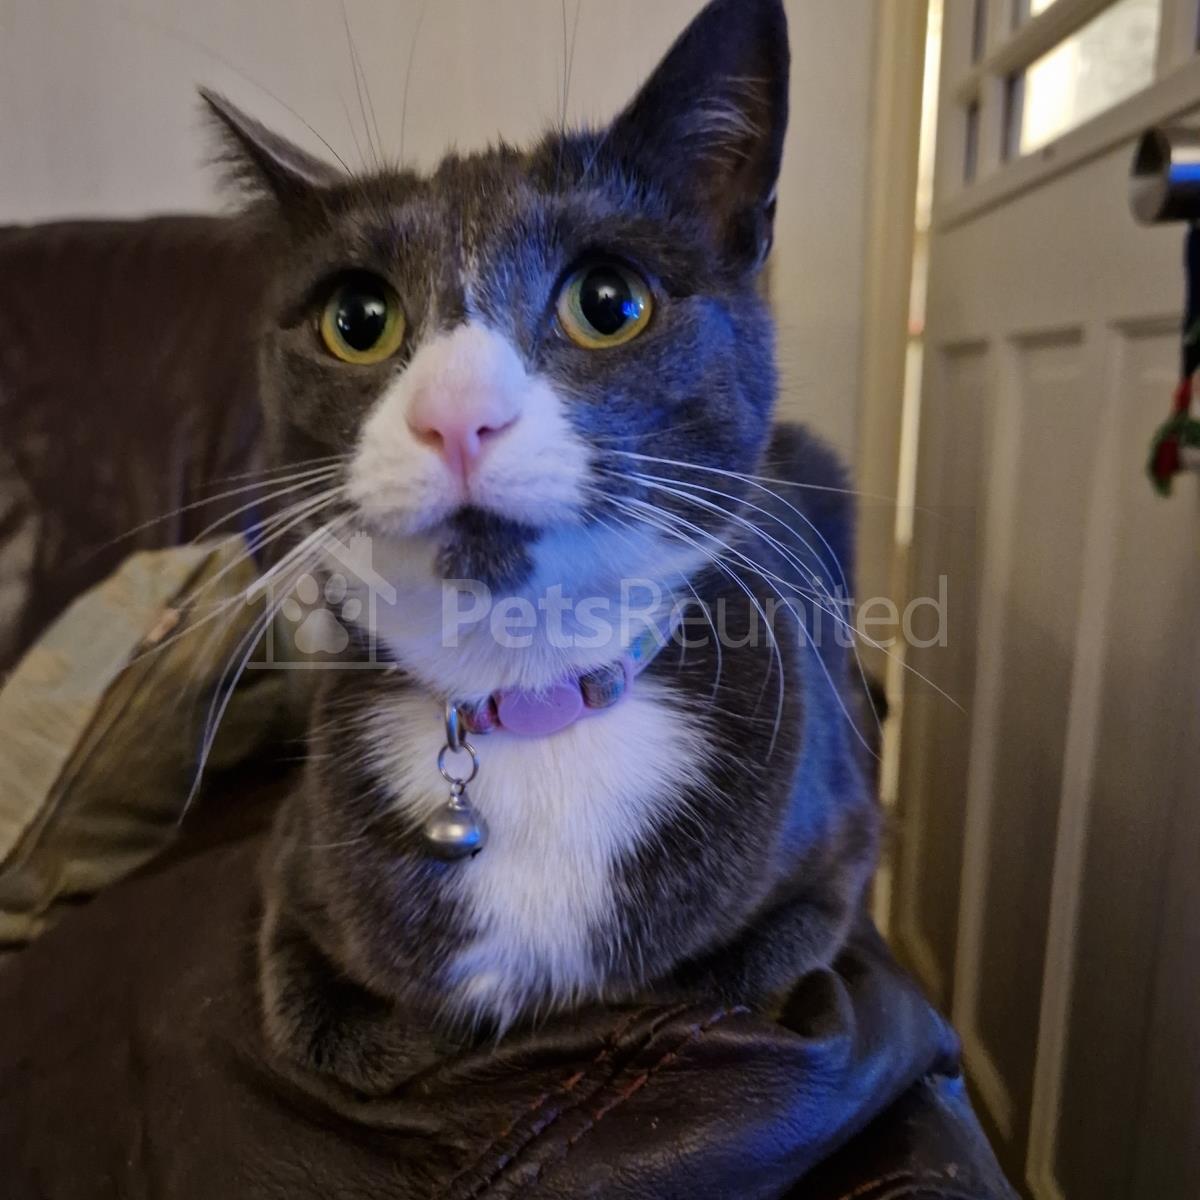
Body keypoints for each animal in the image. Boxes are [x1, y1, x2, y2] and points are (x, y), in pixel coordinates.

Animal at [204, 0, 880, 1095]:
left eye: (609, 302)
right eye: (356, 319)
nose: (455, 415)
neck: (531, 691)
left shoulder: (841, 844)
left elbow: (722, 985)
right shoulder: (288, 874)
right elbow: (338, 1034)